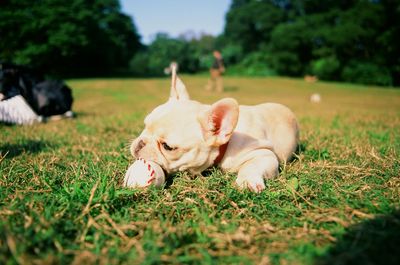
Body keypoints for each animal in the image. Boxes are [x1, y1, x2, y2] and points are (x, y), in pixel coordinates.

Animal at [130, 69, 298, 191]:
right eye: (145, 126)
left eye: (168, 147)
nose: (140, 143)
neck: (225, 144)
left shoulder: (264, 154)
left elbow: (252, 166)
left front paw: (247, 181)